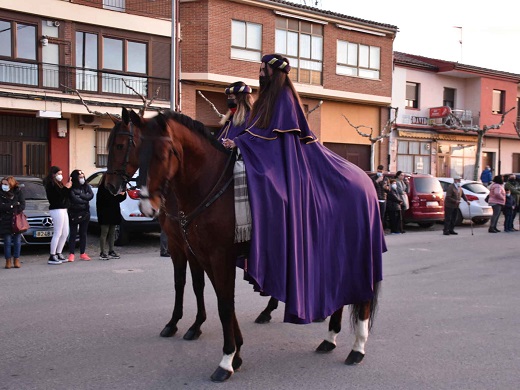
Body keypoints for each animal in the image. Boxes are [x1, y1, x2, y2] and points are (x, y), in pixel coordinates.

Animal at [131, 109, 378, 380]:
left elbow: (225, 306)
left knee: (363, 297)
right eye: (137, 149)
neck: (211, 187)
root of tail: (366, 180)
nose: (147, 206)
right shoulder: (204, 256)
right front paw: (237, 354)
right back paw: (330, 339)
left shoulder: (220, 257)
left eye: (164, 154)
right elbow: (224, 301)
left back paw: (357, 348)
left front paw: (226, 361)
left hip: (358, 251)